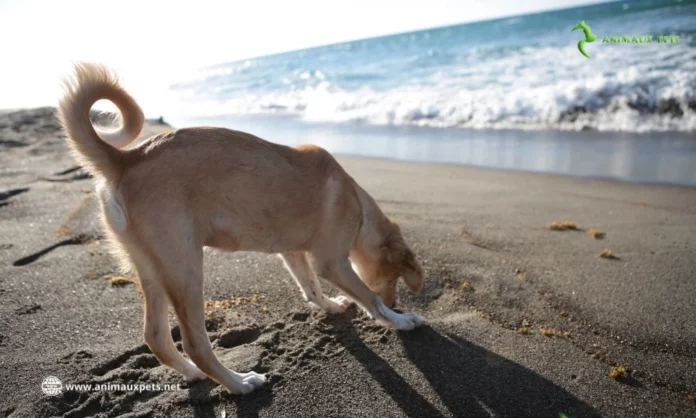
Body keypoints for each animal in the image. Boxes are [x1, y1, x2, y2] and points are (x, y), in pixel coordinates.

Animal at [57, 62, 424, 396]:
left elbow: (311, 288)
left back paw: (194, 375)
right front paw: (401, 320)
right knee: (195, 342)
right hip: (184, 267)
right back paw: (239, 383)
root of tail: (126, 159)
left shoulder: (293, 252)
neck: (356, 201)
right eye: (393, 278)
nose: (397, 302)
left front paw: (333, 306)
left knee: (156, 336)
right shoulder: (331, 261)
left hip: (151, 267)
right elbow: (368, 297)